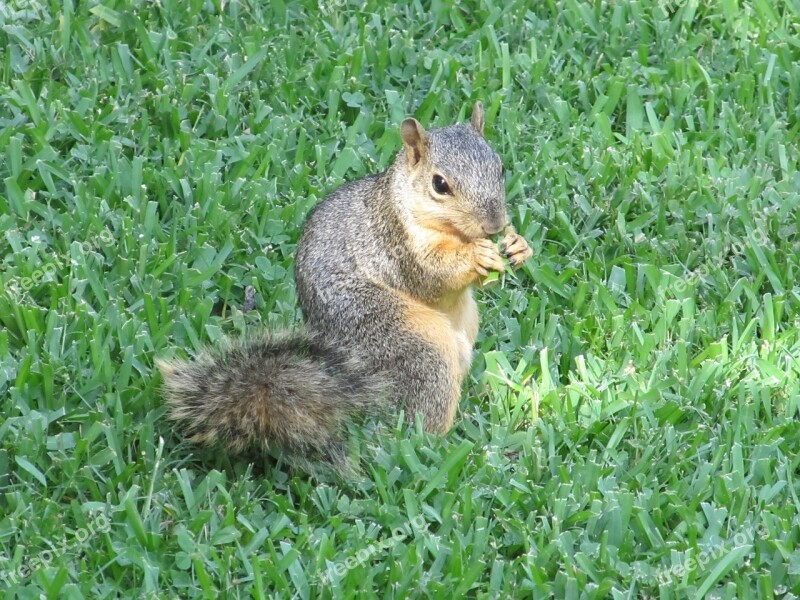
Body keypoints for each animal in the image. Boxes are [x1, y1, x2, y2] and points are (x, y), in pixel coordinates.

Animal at [156, 102, 532, 468]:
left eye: (500, 168)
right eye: (440, 184)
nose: (495, 225)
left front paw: (518, 246)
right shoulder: (395, 243)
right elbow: (431, 275)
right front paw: (476, 256)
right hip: (410, 339)